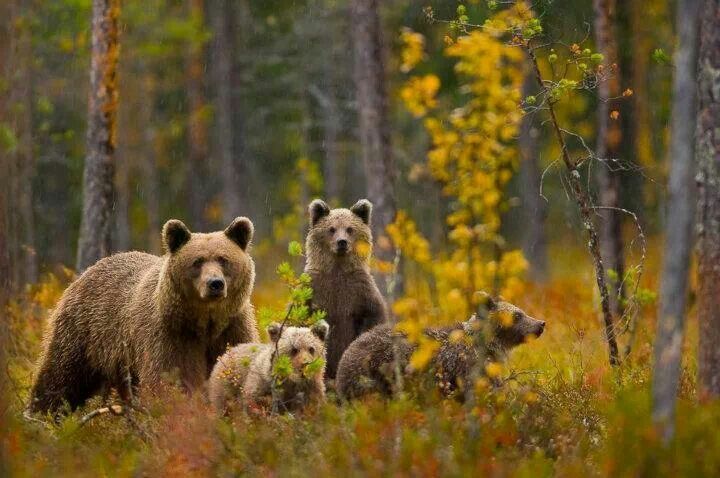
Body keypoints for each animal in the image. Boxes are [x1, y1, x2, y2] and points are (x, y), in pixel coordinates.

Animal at [27, 217, 259, 416]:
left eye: (223, 259)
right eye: (197, 261)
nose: (215, 284)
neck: (205, 322)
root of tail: (86, 272)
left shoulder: (232, 329)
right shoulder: (170, 334)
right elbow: (170, 380)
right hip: (84, 333)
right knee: (61, 376)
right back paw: (41, 415)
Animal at [304, 198, 387, 380]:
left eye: (350, 229)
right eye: (331, 229)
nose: (342, 242)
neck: (338, 268)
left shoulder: (359, 289)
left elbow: (373, 315)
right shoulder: (314, 287)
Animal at [335, 294, 545, 401]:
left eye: (521, 311)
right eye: (517, 315)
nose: (541, 323)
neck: (488, 346)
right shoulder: (466, 368)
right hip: (373, 375)